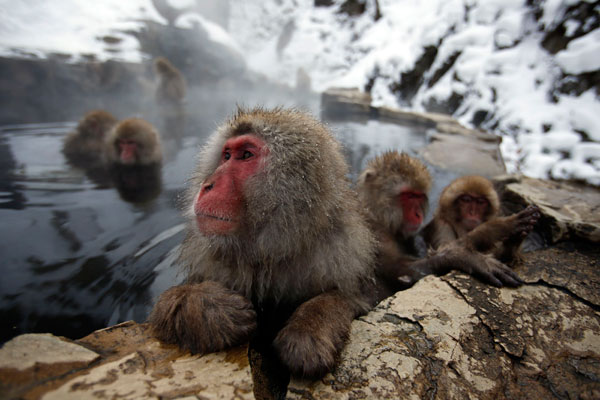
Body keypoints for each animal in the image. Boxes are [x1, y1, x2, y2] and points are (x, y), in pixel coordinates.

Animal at [148, 106, 378, 382]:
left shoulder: (344, 252)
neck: (272, 250)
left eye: (246, 155)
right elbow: (165, 307)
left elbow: (353, 297)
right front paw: (206, 307)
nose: (207, 185)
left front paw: (311, 324)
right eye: (226, 155)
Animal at [356, 152, 524, 302]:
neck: (379, 216)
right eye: (409, 196)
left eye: (418, 196)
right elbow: (401, 271)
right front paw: (464, 257)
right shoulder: (374, 233)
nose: (418, 214)